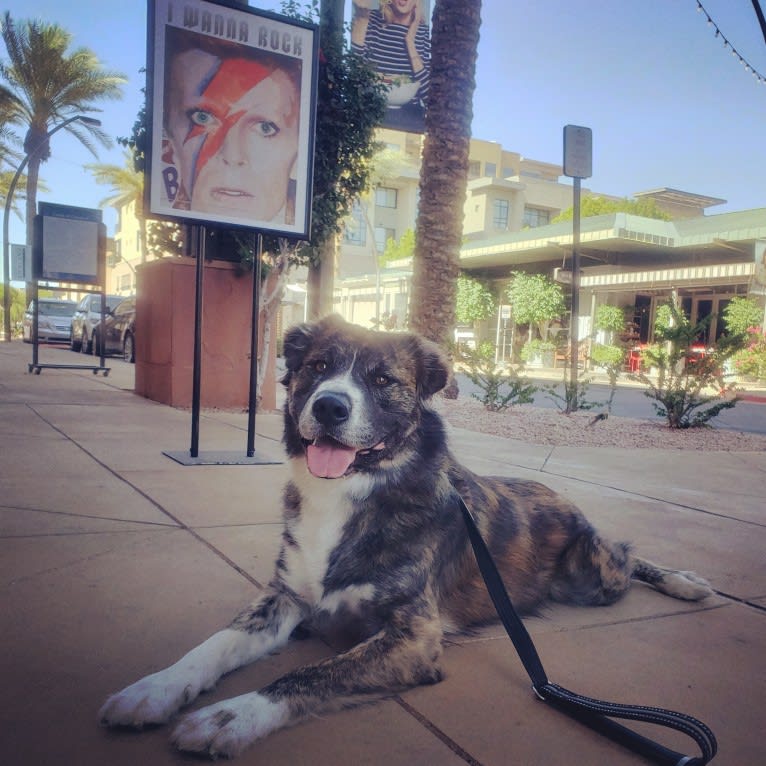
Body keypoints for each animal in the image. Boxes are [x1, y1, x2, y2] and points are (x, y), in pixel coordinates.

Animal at [100, 316, 712, 760]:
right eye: (318, 366)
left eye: (382, 380)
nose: (329, 405)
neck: (350, 493)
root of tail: (559, 495)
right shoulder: (284, 598)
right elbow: (214, 644)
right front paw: (155, 688)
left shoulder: (412, 637)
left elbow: (309, 673)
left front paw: (231, 714)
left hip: (594, 575)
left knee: (629, 555)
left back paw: (685, 581)